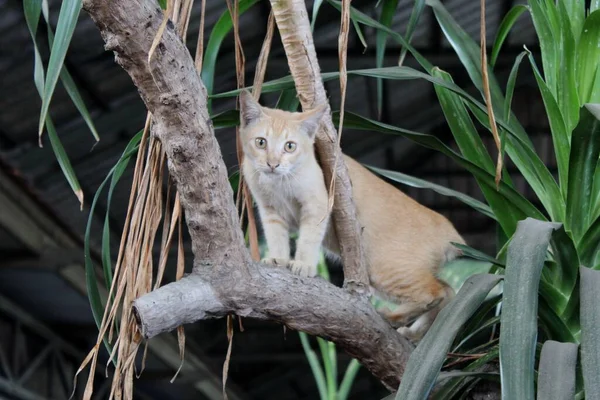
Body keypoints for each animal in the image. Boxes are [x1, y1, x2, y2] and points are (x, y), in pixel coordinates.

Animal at [238, 91, 464, 340]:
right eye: (261, 142)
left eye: (290, 146)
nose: (273, 164)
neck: (278, 183)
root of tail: (448, 230)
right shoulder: (270, 211)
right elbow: (276, 238)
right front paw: (278, 259)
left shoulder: (317, 206)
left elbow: (308, 240)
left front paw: (304, 265)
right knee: (448, 290)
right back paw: (414, 334)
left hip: (386, 271)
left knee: (435, 293)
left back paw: (393, 317)